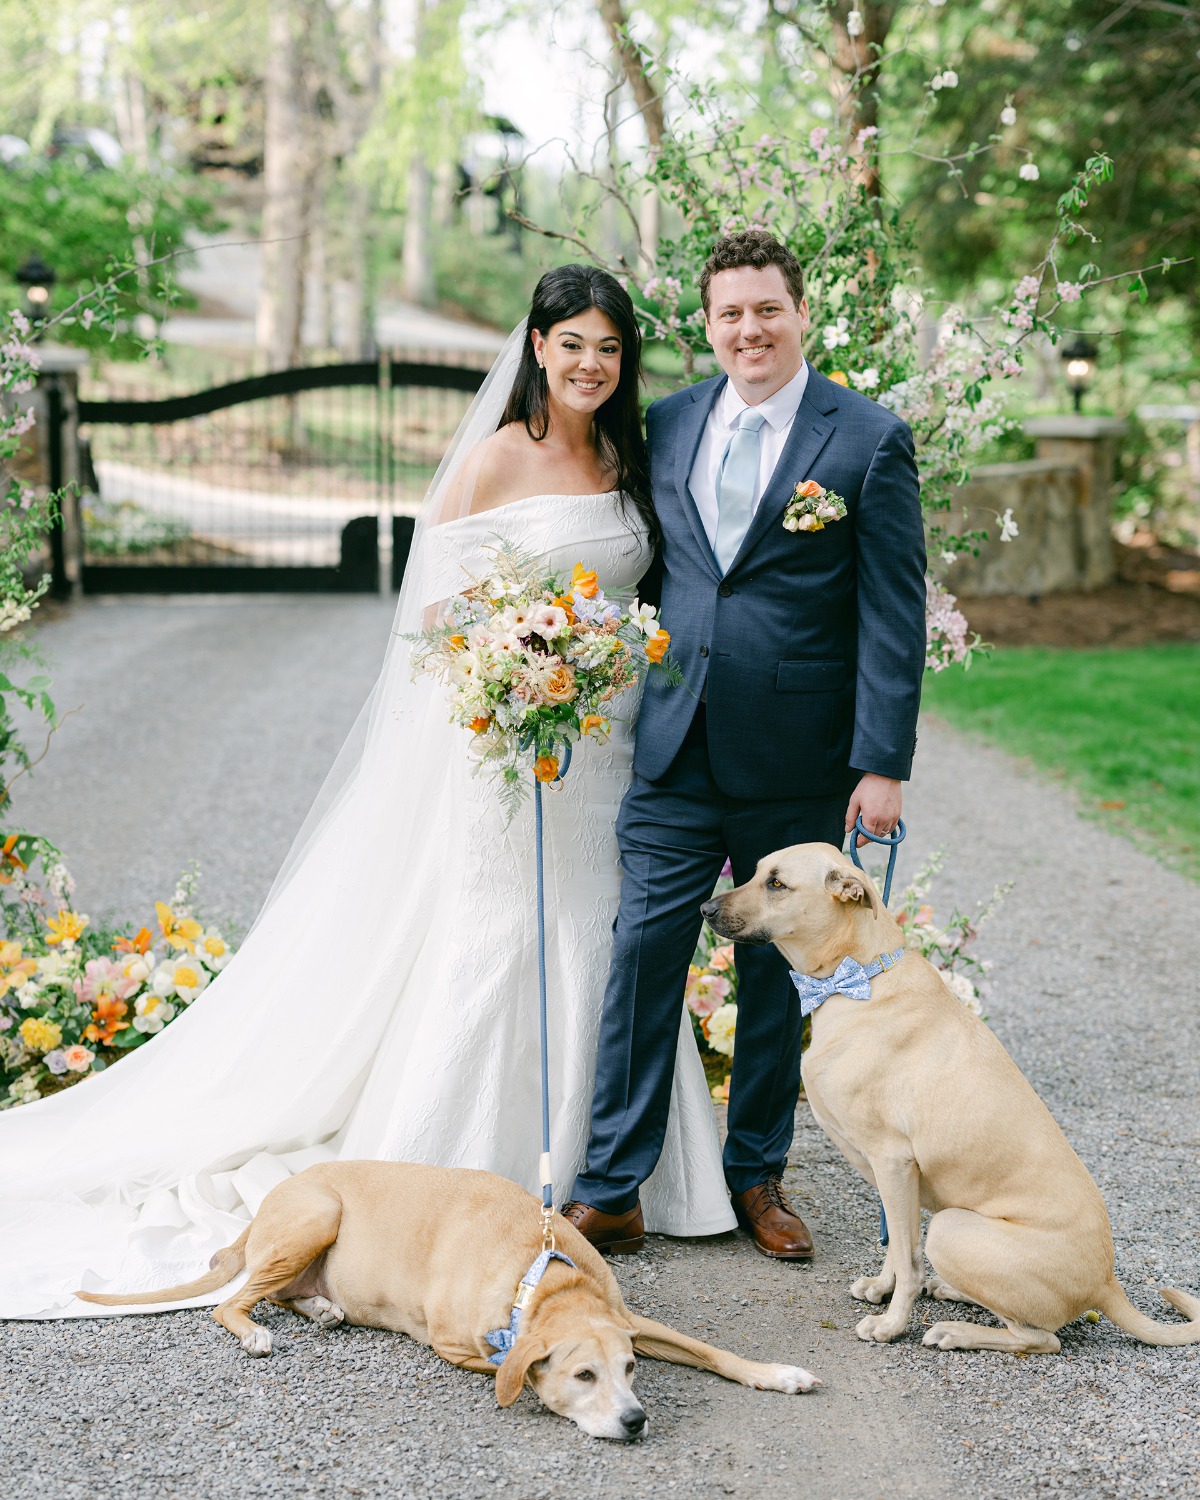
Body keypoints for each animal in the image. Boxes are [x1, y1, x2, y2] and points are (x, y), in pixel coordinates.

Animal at [79, 1158, 822, 1440]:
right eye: (584, 1376)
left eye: (631, 1371)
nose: (637, 1420)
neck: (540, 1275)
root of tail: (268, 1200)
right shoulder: (456, 1342)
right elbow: (508, 1367)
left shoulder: (629, 1319)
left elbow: (712, 1350)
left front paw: (777, 1374)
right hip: (316, 1215)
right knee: (231, 1302)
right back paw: (259, 1329)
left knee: (284, 1292)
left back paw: (320, 1308)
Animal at [702, 846, 1200, 1362]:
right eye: (758, 873)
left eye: (777, 885)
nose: (705, 909)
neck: (859, 976)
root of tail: (1106, 1282)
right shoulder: (890, 1176)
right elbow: (897, 1248)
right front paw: (882, 1288)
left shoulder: (892, 1161)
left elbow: (908, 1258)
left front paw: (891, 1324)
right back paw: (950, 1291)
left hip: (951, 1228)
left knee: (1041, 1338)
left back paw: (955, 1332)